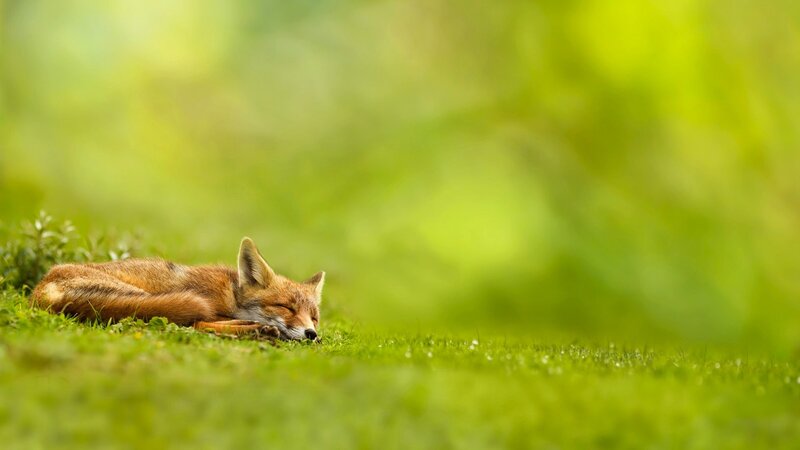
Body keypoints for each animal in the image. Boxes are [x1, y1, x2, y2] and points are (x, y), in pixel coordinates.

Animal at [30, 237, 324, 341]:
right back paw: (259, 330)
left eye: (315, 318)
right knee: (192, 325)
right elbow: (202, 323)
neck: (231, 294)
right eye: (286, 307)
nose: (311, 333)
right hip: (143, 298)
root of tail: (41, 289)